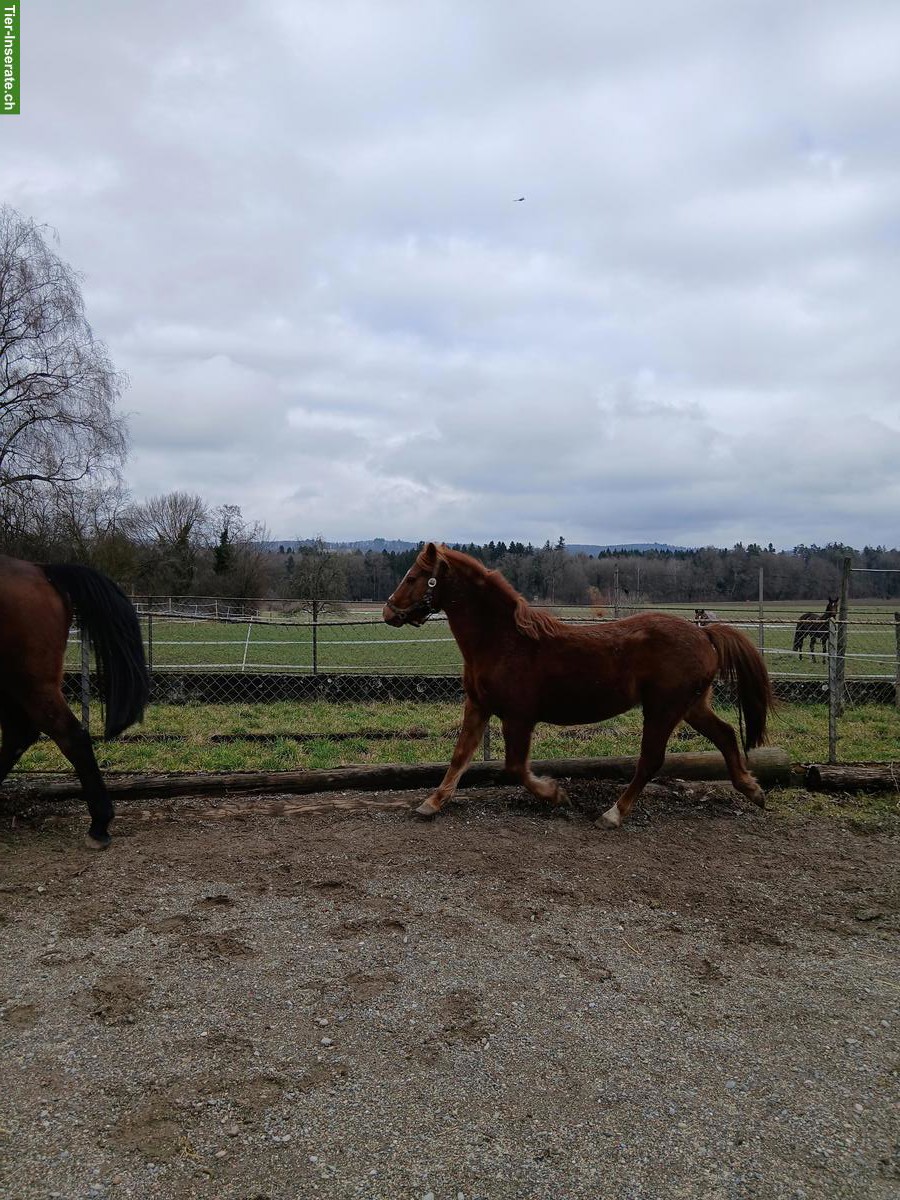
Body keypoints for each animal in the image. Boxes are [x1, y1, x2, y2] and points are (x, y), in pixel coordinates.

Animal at [383, 543, 775, 829]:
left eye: (414, 576)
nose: (388, 612)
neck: (504, 640)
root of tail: (704, 634)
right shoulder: (478, 706)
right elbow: (460, 755)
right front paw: (432, 802)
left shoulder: (518, 717)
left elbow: (515, 768)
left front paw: (555, 794)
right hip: (691, 705)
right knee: (726, 735)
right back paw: (752, 789)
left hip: (663, 709)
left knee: (651, 760)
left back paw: (613, 814)